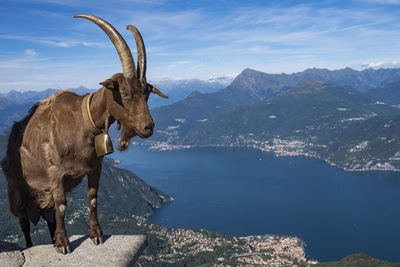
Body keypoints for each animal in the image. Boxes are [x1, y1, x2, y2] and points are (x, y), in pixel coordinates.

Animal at [1, 15, 167, 255]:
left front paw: (96, 234)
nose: (148, 127)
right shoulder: (55, 174)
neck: (82, 124)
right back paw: (33, 246)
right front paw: (63, 244)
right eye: (125, 93)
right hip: (17, 189)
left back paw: (52, 237)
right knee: (24, 222)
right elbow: (62, 205)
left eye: (147, 94)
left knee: (49, 217)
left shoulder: (95, 167)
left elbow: (93, 198)